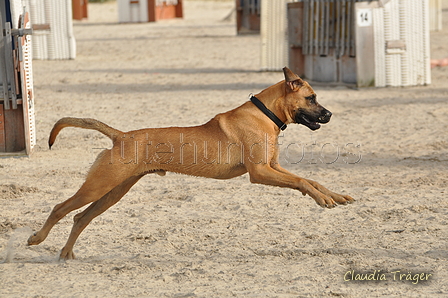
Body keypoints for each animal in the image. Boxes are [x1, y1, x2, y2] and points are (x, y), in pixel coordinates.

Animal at [28, 67, 354, 258]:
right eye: (311, 98)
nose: (329, 115)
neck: (264, 113)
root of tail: (121, 136)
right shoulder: (261, 172)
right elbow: (301, 181)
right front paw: (322, 200)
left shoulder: (273, 168)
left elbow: (310, 180)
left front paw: (334, 196)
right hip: (99, 186)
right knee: (60, 208)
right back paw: (37, 238)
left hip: (114, 191)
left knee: (80, 218)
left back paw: (66, 253)